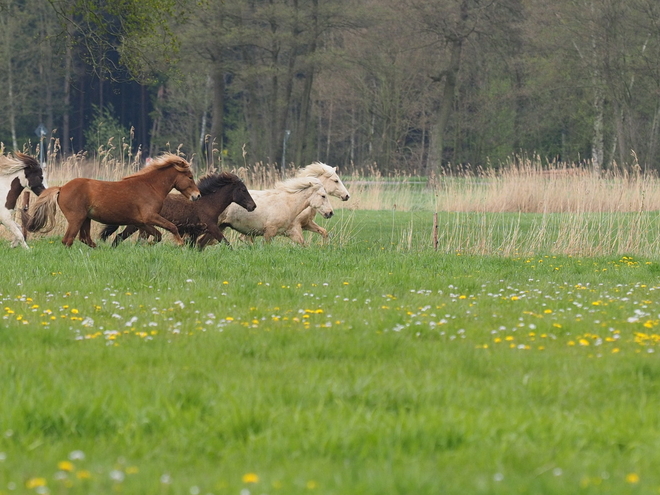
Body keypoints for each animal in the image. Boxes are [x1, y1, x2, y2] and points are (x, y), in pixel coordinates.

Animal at [25, 153, 200, 248]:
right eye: (190, 177)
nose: (197, 195)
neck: (150, 187)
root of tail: (62, 188)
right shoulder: (150, 217)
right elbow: (171, 227)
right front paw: (180, 243)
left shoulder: (141, 222)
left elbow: (157, 236)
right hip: (77, 218)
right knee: (68, 240)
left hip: (86, 219)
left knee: (85, 239)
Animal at [99, 172, 256, 248]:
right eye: (243, 189)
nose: (253, 206)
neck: (208, 204)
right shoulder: (212, 227)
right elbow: (226, 243)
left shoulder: (194, 233)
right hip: (136, 225)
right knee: (121, 238)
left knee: (119, 237)